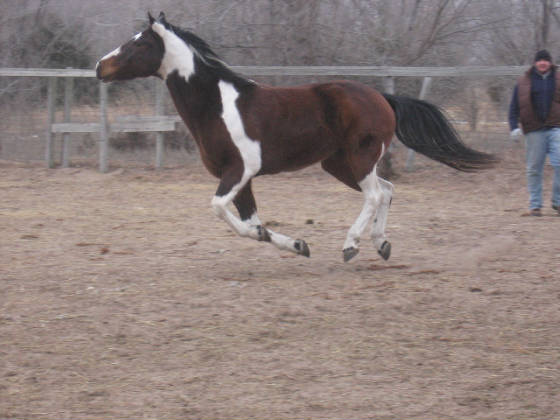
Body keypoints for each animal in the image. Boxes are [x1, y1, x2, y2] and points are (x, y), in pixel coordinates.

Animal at [97, 12, 498, 262]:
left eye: (137, 44)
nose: (100, 66)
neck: (217, 104)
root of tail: (382, 97)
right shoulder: (243, 179)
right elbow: (251, 224)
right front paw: (297, 244)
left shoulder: (238, 171)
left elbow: (222, 211)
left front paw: (295, 243)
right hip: (340, 165)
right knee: (387, 190)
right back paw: (380, 244)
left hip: (359, 158)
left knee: (374, 194)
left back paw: (351, 245)